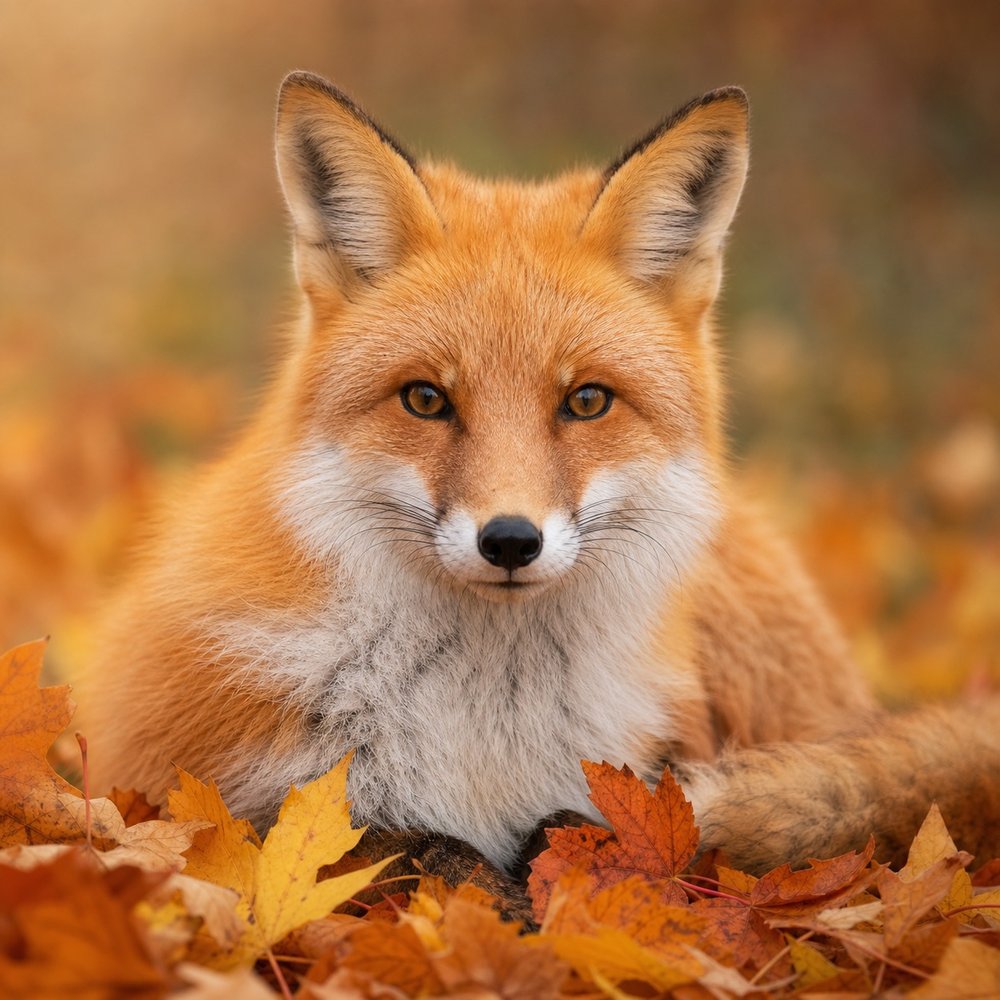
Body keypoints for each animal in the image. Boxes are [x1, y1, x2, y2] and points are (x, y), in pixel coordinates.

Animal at [79, 72, 1000, 912]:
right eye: (425, 399)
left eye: (586, 401)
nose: (512, 540)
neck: (491, 719)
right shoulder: (202, 786)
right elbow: (391, 849)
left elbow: (615, 838)